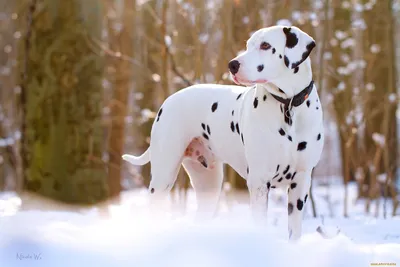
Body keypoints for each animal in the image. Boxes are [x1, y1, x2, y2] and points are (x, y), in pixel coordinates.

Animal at [123, 25, 324, 242]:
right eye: (248, 45)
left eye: (265, 45)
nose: (232, 64)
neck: (288, 107)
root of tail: (168, 101)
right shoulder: (259, 182)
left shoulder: (300, 183)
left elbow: (294, 230)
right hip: (162, 179)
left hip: (209, 187)